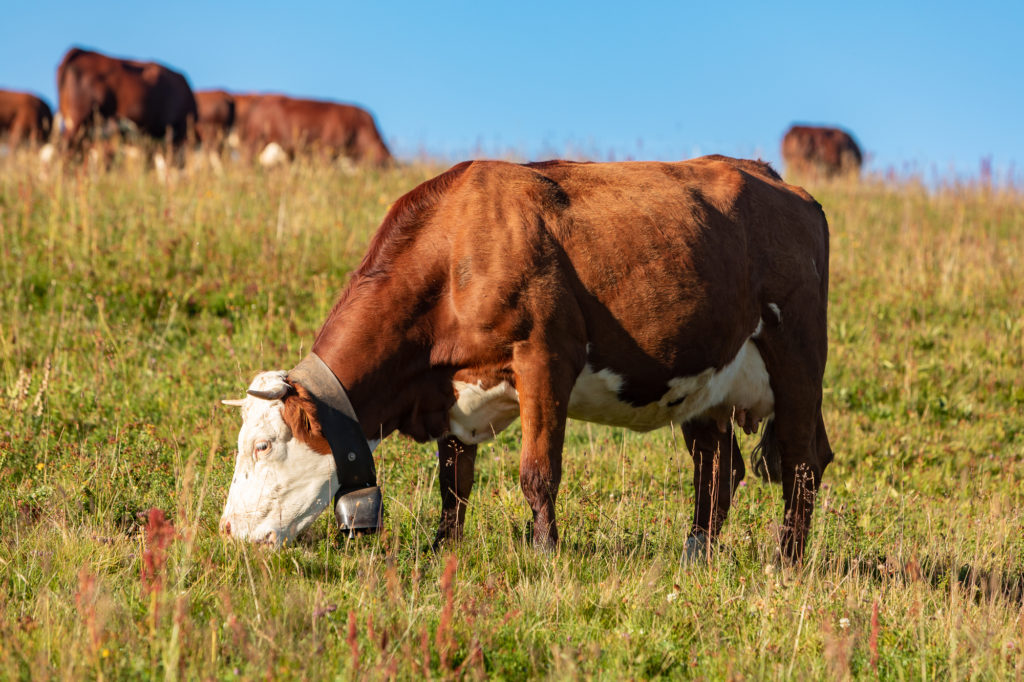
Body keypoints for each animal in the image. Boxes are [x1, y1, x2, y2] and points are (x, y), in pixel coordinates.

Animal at [222, 155, 831, 561]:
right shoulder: (453, 392)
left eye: (263, 444)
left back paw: (787, 561)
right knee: (719, 466)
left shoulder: (544, 357)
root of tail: (779, 180)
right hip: (707, 381)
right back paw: (696, 553)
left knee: (804, 460)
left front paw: (543, 554)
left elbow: (538, 472)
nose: (228, 531)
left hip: (798, 355)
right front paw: (444, 547)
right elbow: (453, 481)